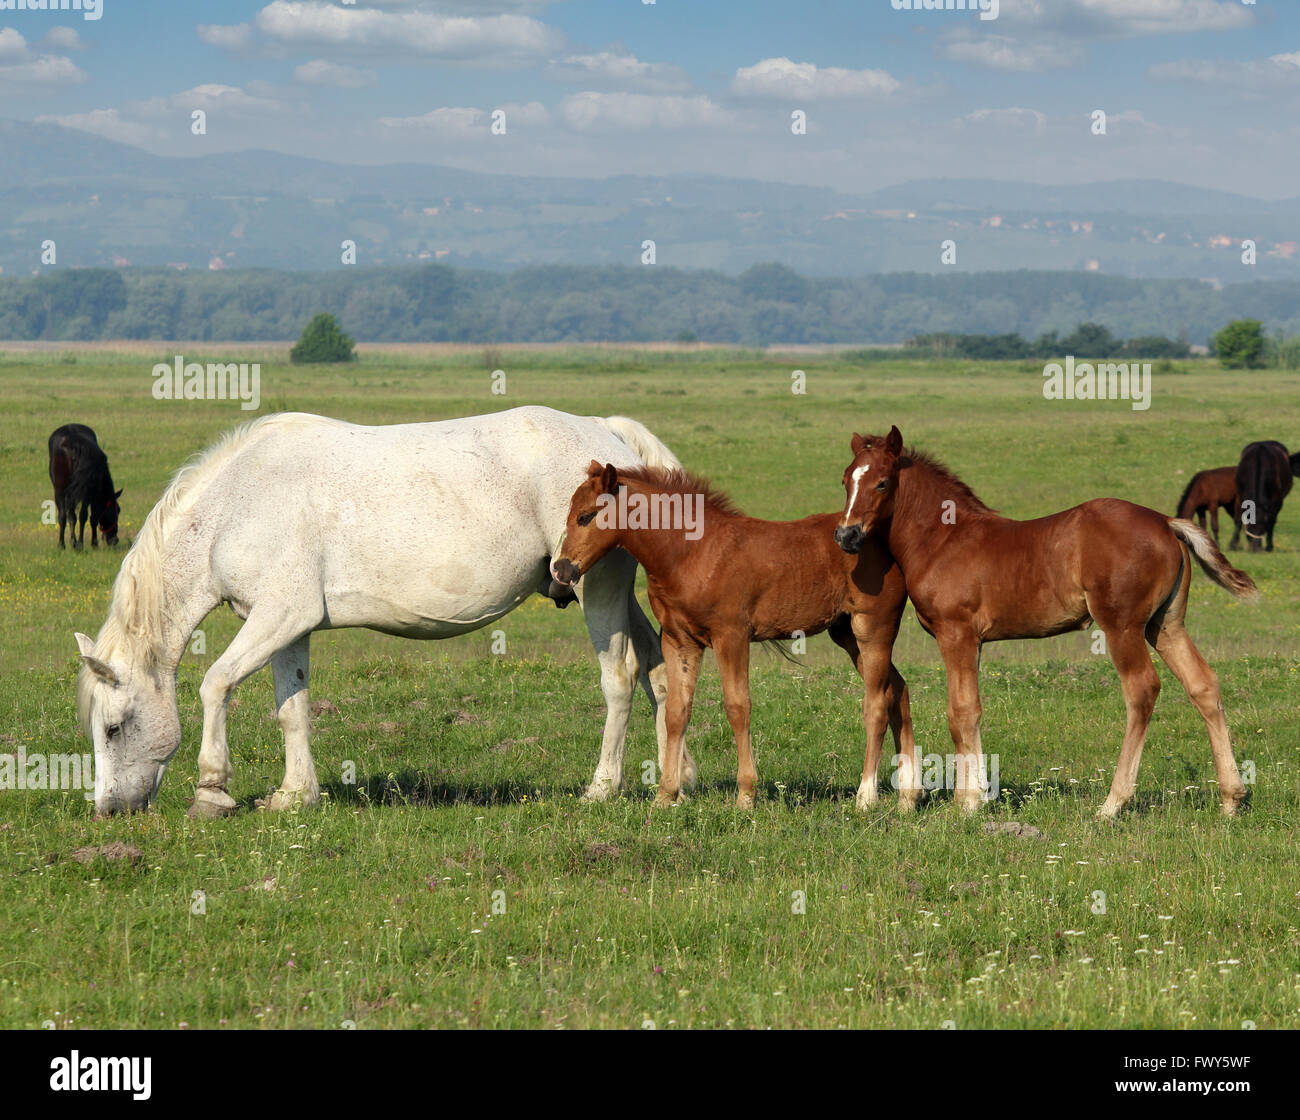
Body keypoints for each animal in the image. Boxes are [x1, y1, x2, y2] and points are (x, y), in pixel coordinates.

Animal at [74, 407, 697, 817]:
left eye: (112, 728)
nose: (108, 810)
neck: (237, 505)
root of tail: (608, 433)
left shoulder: (278, 615)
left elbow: (214, 684)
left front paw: (212, 789)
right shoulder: (287, 627)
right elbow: (292, 709)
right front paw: (295, 795)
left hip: (597, 589)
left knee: (621, 677)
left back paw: (603, 787)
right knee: (659, 670)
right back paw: (679, 777)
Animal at [551, 461, 918, 811]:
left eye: (585, 516)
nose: (560, 569)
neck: (693, 551)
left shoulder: (732, 637)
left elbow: (738, 707)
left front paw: (745, 795)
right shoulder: (679, 640)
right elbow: (676, 712)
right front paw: (665, 795)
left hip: (873, 630)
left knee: (877, 702)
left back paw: (866, 797)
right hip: (847, 635)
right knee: (898, 690)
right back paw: (908, 797)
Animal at [834, 426, 1258, 818]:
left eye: (882, 482)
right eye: (845, 480)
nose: (846, 535)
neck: (944, 539)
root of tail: (1166, 522)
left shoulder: (956, 633)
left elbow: (961, 712)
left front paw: (968, 803)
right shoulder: (975, 641)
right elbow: (972, 709)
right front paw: (977, 794)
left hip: (1122, 626)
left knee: (1142, 690)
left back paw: (1112, 804)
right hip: (1165, 625)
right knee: (1203, 684)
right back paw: (1231, 799)